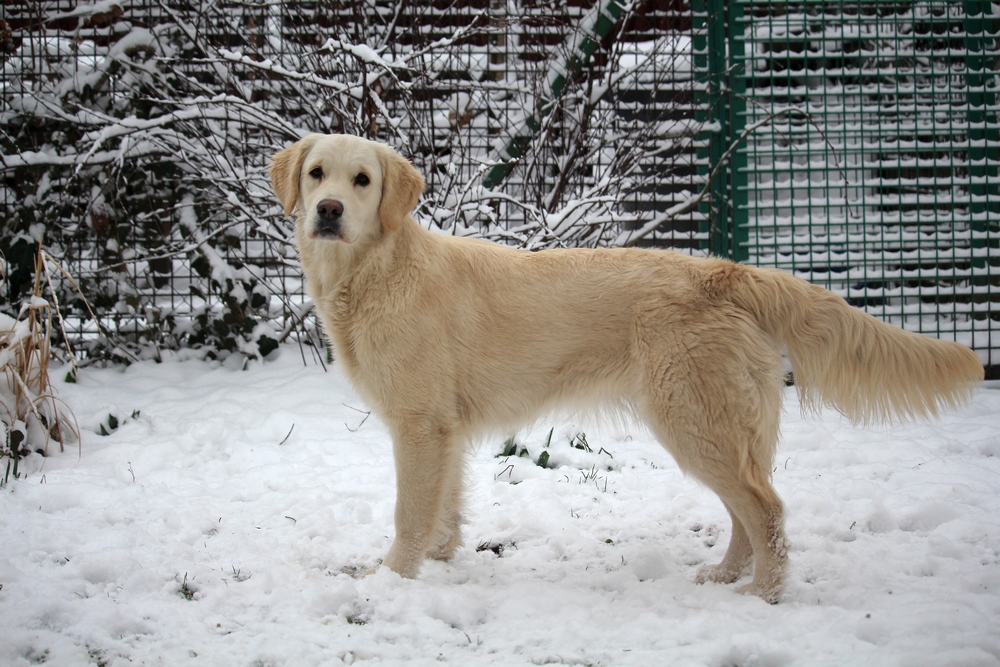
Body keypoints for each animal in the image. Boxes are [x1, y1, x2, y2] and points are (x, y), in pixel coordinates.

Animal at [272, 133, 984, 604]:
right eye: (317, 174)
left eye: (362, 181)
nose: (328, 211)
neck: (378, 270)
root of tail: (731, 271)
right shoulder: (444, 431)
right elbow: (444, 510)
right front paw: (439, 565)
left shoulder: (419, 425)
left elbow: (409, 514)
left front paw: (388, 580)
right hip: (719, 426)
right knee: (748, 511)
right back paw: (726, 576)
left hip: (693, 421)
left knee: (768, 511)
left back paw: (762, 593)